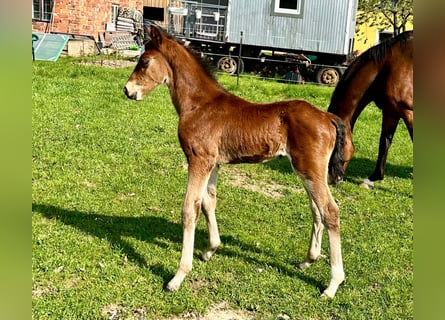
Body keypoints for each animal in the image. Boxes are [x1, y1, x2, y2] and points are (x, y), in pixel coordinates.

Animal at [123, 26, 346, 298]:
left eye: (144, 61)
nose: (127, 90)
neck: (199, 105)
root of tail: (327, 117)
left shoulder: (198, 160)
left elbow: (189, 209)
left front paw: (178, 276)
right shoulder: (213, 163)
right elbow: (208, 203)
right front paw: (211, 249)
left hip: (309, 170)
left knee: (330, 211)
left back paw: (332, 284)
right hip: (308, 171)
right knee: (317, 209)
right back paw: (308, 261)